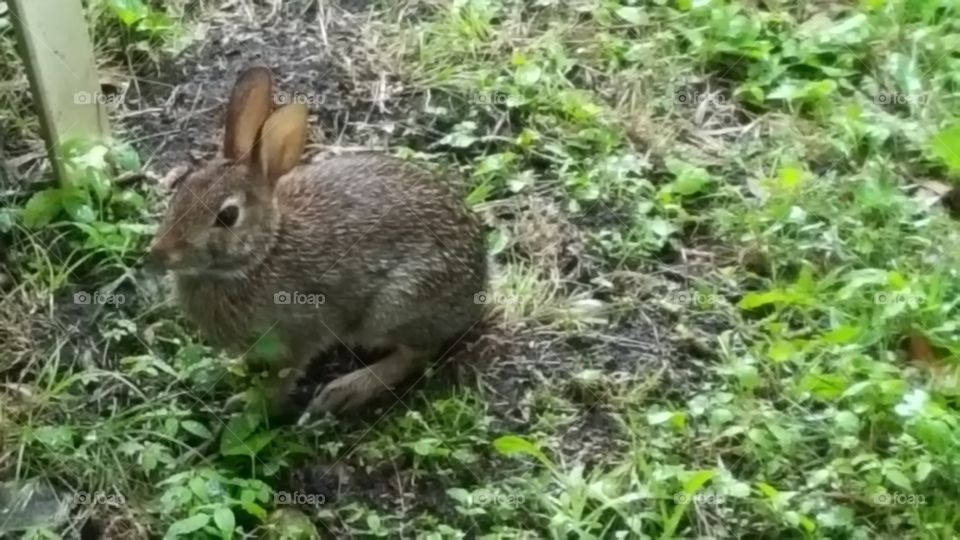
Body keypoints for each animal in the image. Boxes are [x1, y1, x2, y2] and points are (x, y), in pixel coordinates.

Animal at [146, 67, 488, 423]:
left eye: (227, 216)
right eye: (183, 187)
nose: (158, 253)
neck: (263, 253)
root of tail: (479, 280)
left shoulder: (300, 333)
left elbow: (284, 375)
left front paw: (252, 404)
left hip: (395, 306)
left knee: (416, 354)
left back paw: (344, 392)